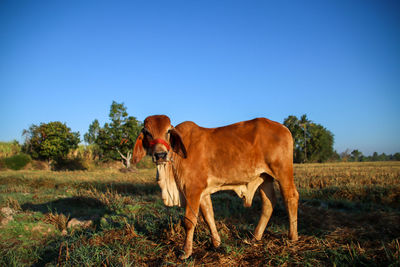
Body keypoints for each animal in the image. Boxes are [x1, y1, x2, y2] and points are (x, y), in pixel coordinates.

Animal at [133, 114, 298, 260]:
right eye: (147, 132)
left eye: (168, 131)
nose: (160, 155)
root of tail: (284, 128)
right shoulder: (202, 193)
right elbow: (208, 216)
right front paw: (216, 243)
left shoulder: (193, 189)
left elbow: (189, 221)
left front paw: (186, 252)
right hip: (265, 178)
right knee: (269, 203)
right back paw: (255, 237)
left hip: (283, 172)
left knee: (291, 197)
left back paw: (293, 237)